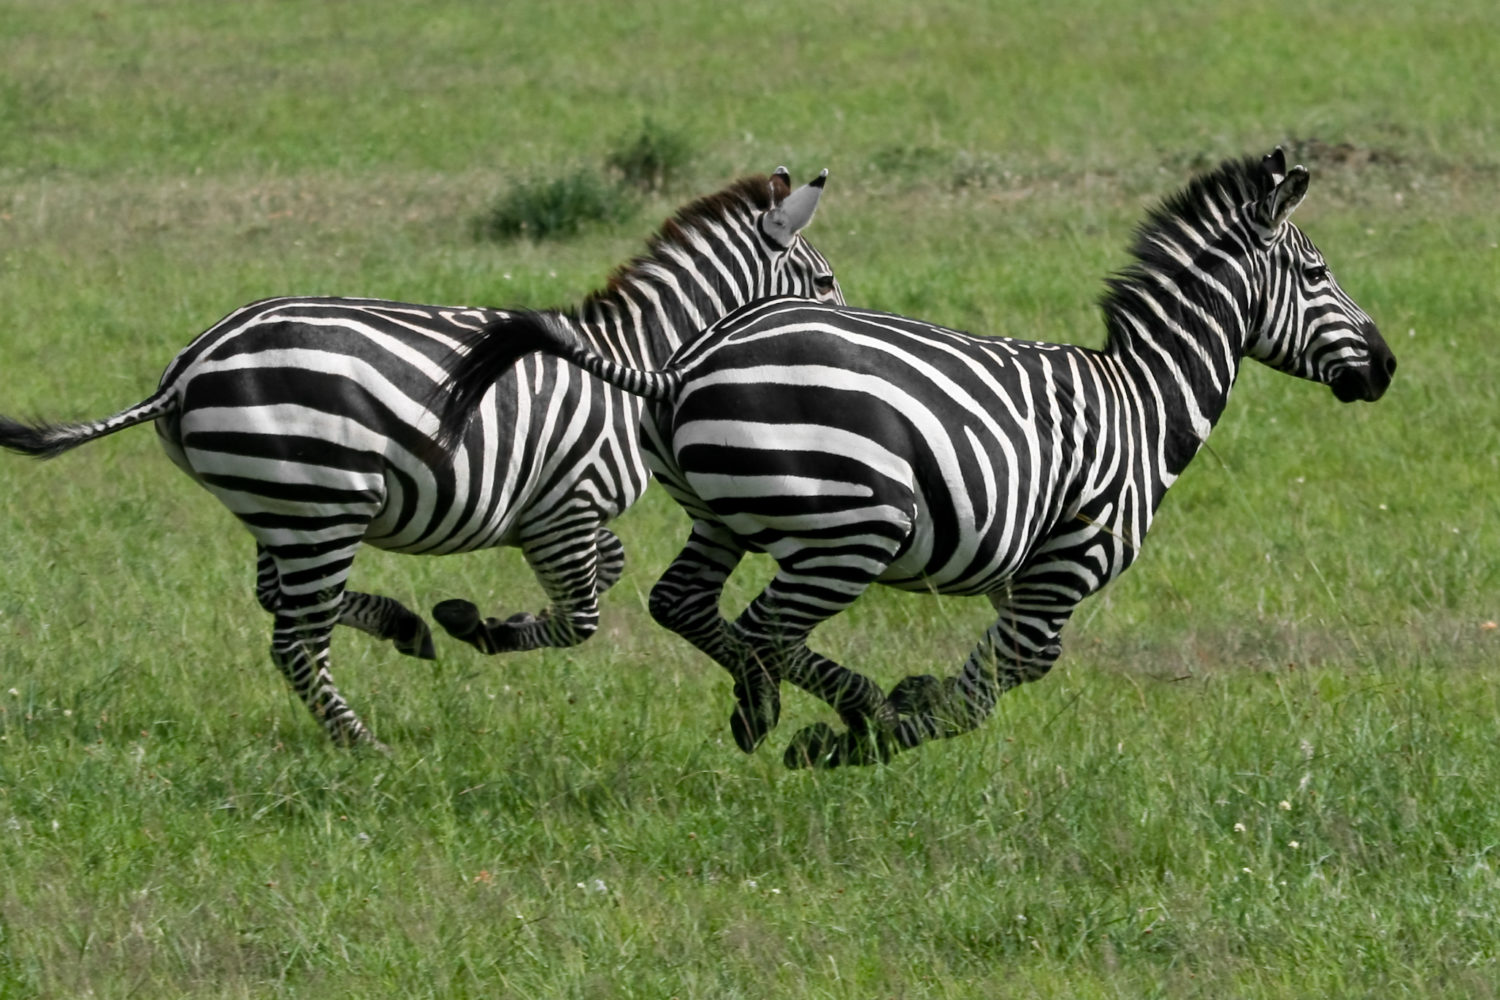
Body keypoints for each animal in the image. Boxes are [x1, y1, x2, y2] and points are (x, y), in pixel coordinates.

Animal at [0, 167, 842, 748]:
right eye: (826, 280)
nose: (844, 342)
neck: (631, 361)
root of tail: (186, 372)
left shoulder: (558, 514)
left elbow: (607, 571)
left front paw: (480, 619)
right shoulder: (565, 505)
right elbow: (583, 616)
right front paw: (489, 629)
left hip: (278, 504)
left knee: (280, 600)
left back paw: (402, 628)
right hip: (322, 500)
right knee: (294, 638)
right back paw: (362, 744)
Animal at [433, 148, 1396, 768]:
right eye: (1317, 274)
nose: (1387, 367)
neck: (1145, 400)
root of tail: (680, 364)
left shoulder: (1024, 579)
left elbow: (998, 674)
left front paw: (888, 716)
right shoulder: (1063, 568)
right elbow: (1003, 678)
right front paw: (880, 729)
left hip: (723, 515)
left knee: (689, 606)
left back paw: (760, 707)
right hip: (853, 527)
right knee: (767, 628)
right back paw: (845, 711)